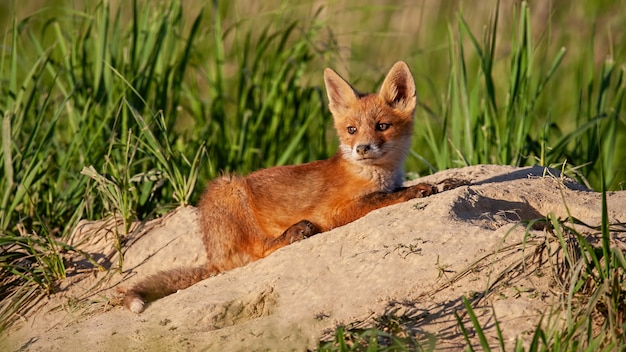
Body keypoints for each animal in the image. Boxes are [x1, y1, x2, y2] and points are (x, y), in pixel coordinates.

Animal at [123, 61, 454, 314]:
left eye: (382, 126)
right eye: (351, 129)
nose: (361, 148)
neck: (377, 174)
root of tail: (211, 255)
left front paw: (447, 181)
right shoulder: (334, 212)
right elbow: (383, 199)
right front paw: (416, 190)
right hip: (229, 187)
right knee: (259, 251)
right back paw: (294, 232)